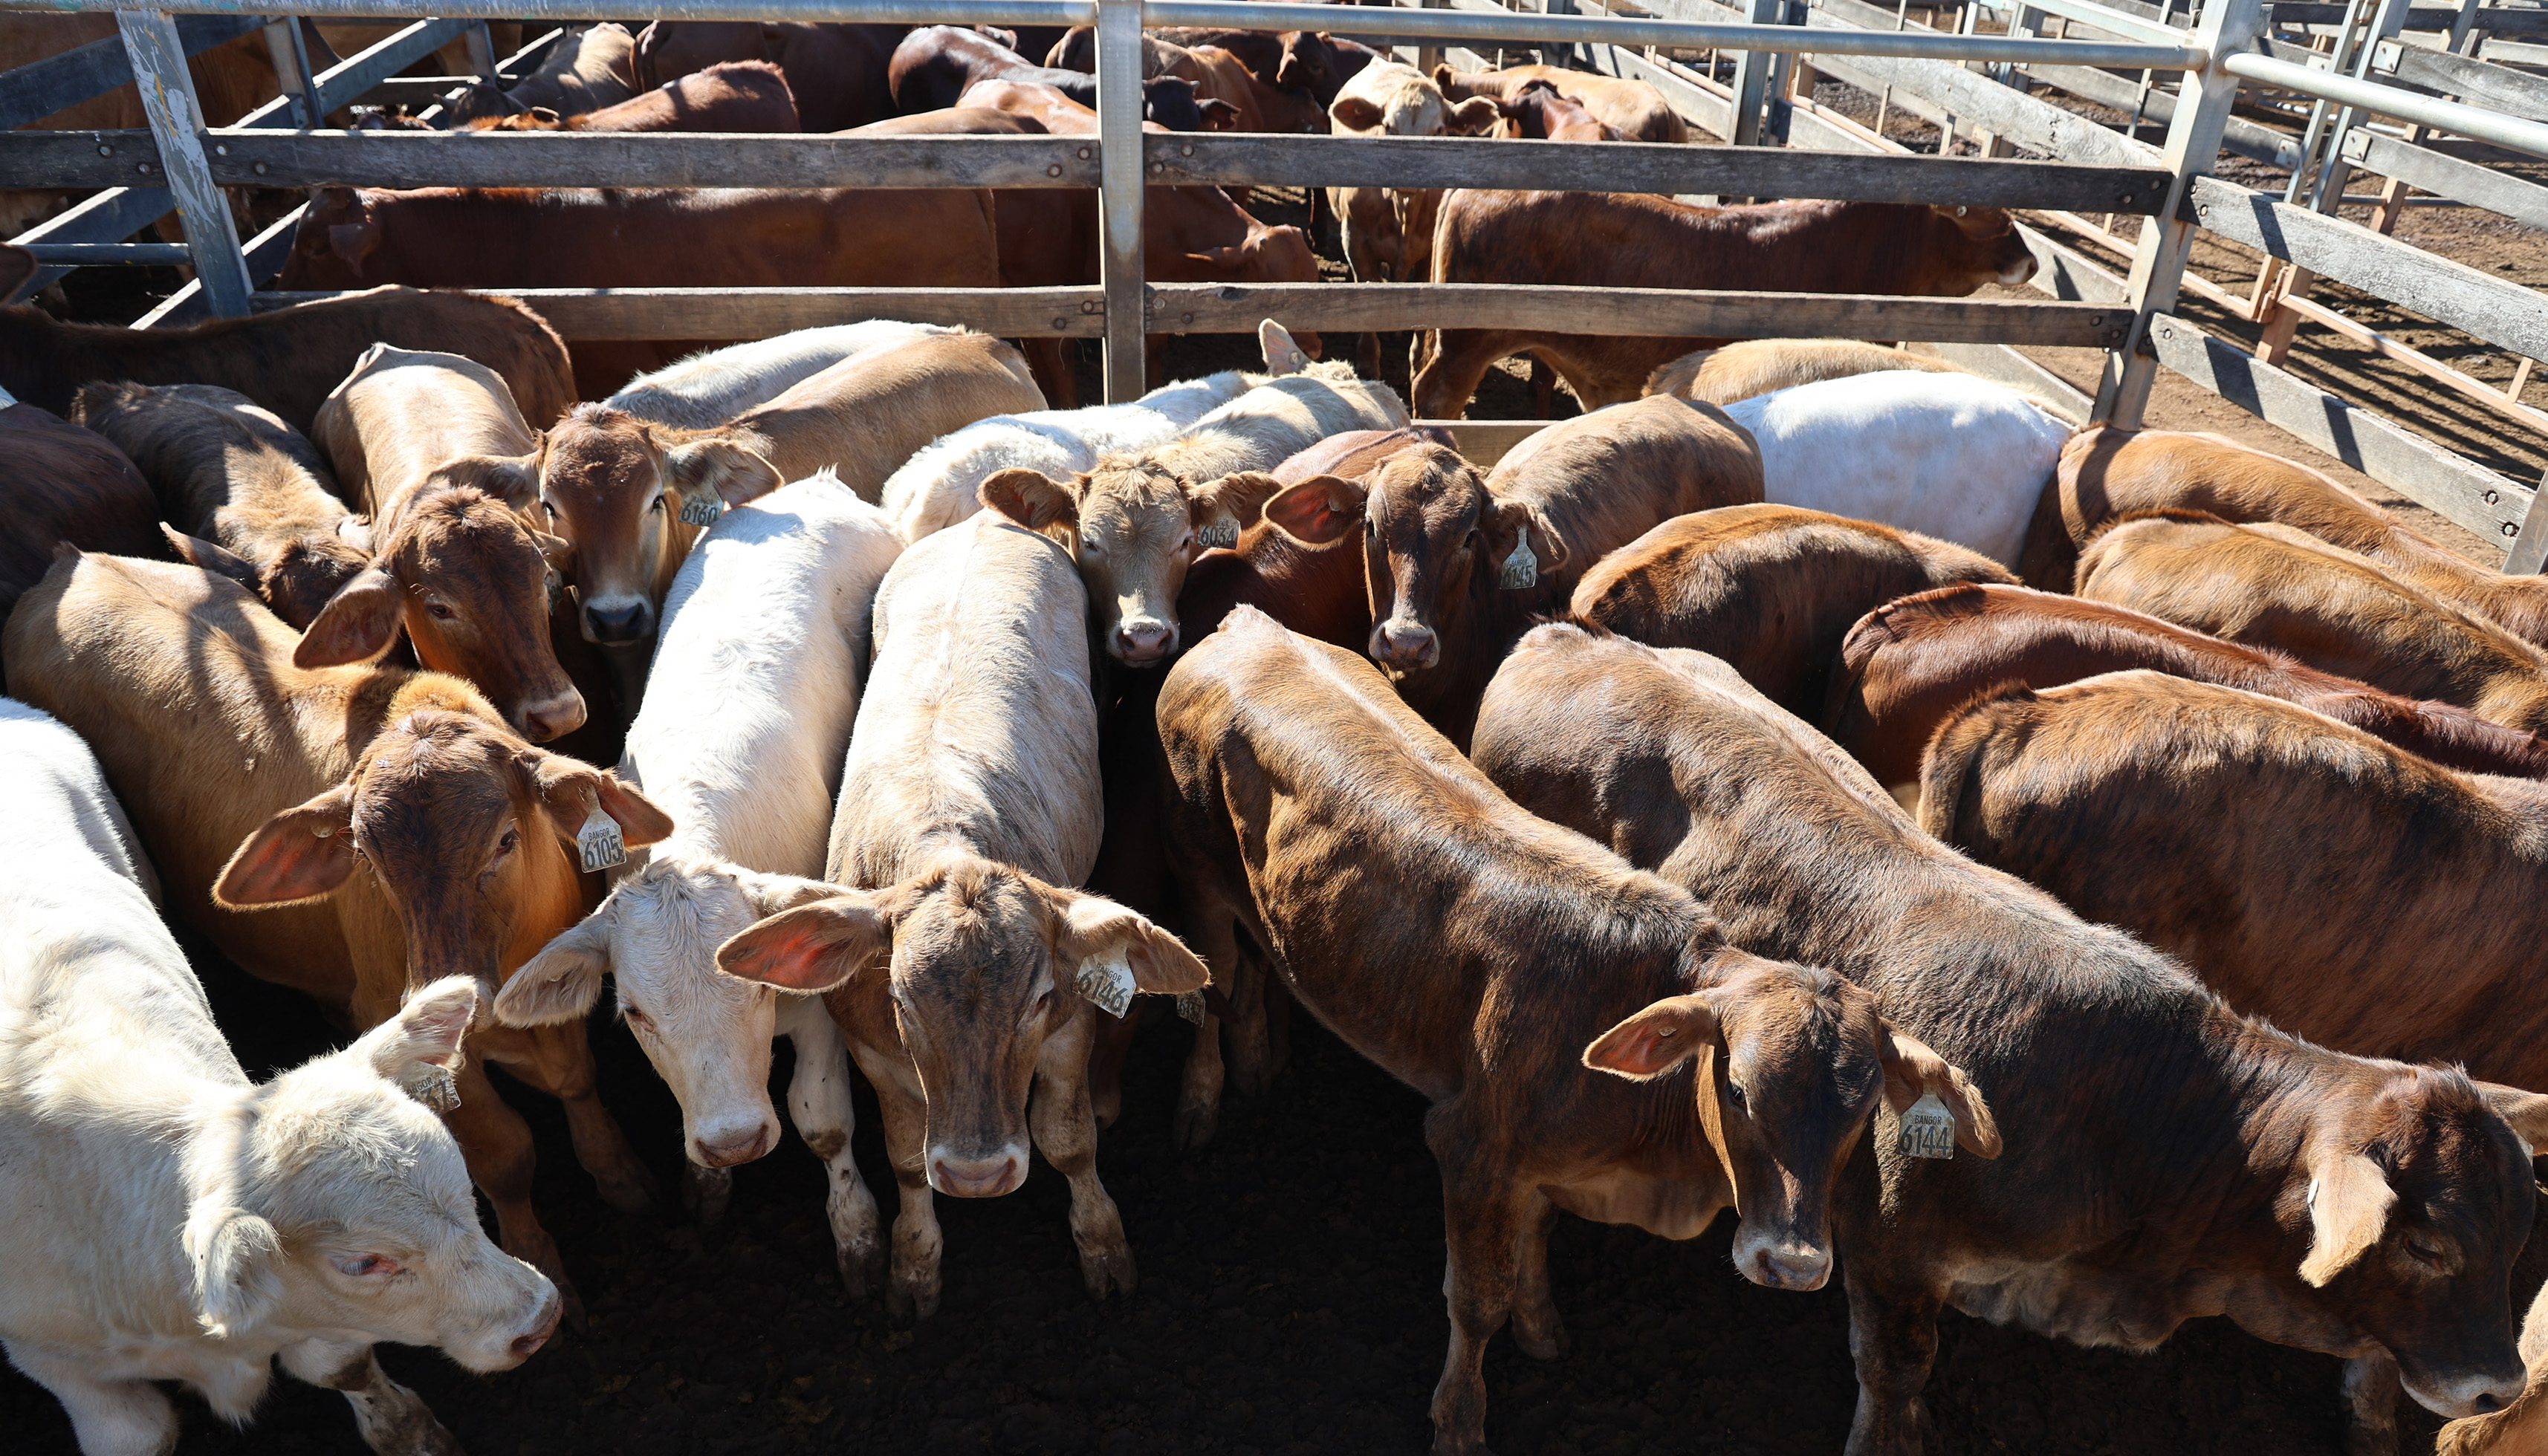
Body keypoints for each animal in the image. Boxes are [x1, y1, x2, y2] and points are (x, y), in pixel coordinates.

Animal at [0, 699, 557, 1456]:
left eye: (463, 1190)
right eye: (363, 1263)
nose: (540, 1316)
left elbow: (341, 1363)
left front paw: (409, 1433)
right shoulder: (59, 1363)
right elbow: (138, 1431)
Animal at [5, 552, 676, 1314]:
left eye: (506, 838)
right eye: (368, 858)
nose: (452, 985)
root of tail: (69, 561)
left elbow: (577, 1080)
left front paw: (620, 1174)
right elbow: (505, 1155)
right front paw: (545, 1262)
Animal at [497, 473, 903, 1280]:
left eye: (757, 988)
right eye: (635, 1015)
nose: (735, 1141)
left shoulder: (813, 995)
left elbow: (823, 1122)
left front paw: (858, 1235)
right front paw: (706, 1187)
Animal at [712, 510, 1208, 1321]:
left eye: (1038, 998)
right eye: (901, 999)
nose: (978, 1175)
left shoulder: (1070, 1026)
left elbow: (1068, 1140)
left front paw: (1102, 1245)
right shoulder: (875, 1053)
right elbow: (907, 1162)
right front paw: (914, 1264)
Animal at [1153, 607, 1995, 1455]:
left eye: (1863, 1113)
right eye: (1737, 1089)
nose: (1789, 1264)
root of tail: (1249, 625)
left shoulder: (1534, 1166)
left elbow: (1534, 1236)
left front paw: (1540, 1325)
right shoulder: (1468, 1146)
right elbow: (1474, 1302)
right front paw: (1459, 1419)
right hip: (1194, 873)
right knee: (1210, 989)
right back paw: (1199, 1105)